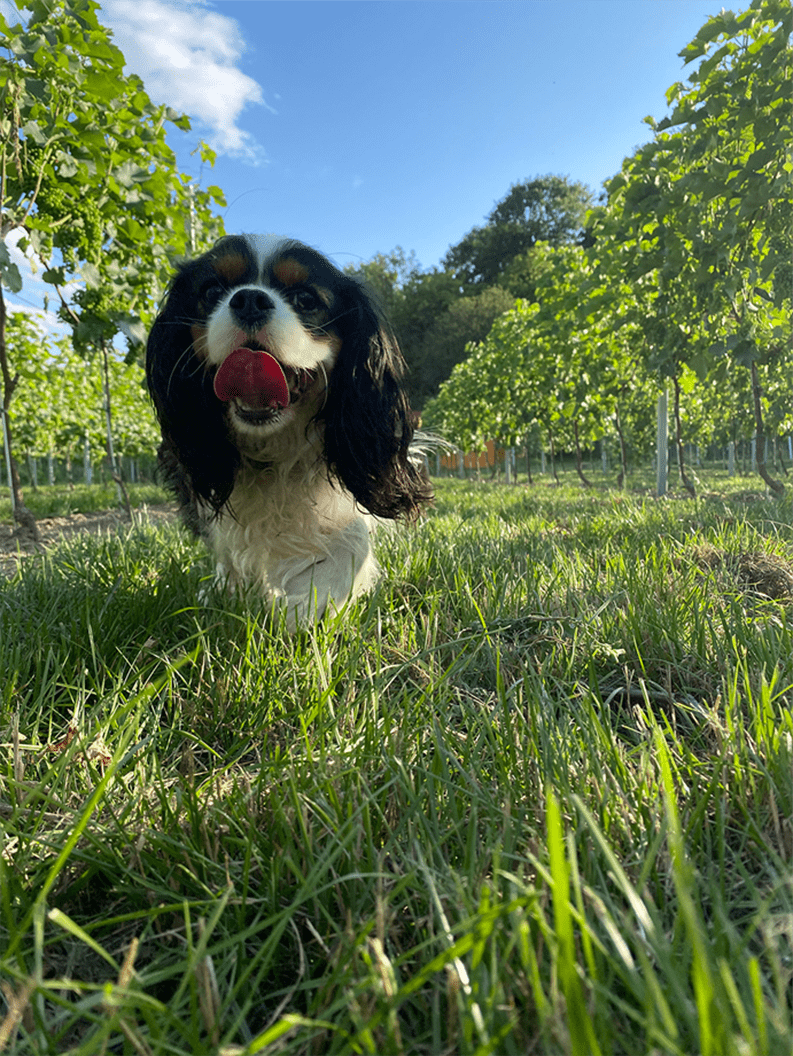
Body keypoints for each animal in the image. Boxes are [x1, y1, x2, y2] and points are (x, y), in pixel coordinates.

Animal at [147, 233, 435, 625]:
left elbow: (352, 541)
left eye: (305, 300)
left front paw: (303, 605)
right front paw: (227, 592)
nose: (249, 300)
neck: (272, 448)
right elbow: (228, 545)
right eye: (212, 291)